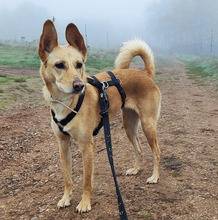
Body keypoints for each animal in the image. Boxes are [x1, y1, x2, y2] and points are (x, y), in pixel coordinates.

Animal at [38, 20, 161, 213]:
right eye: (59, 65)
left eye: (79, 64)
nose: (79, 85)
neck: (66, 103)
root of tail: (145, 74)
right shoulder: (63, 144)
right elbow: (67, 177)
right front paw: (66, 198)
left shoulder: (87, 146)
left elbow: (86, 180)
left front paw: (84, 203)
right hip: (129, 126)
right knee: (139, 148)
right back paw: (135, 169)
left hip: (148, 126)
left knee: (157, 152)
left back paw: (155, 176)